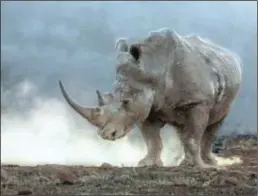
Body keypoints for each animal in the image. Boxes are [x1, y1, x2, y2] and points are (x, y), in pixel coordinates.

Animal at [58, 28, 242, 169]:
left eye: (126, 101)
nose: (106, 135)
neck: (153, 68)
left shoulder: (197, 101)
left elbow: (193, 136)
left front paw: (197, 167)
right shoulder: (144, 107)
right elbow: (152, 140)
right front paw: (147, 164)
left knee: (215, 122)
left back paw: (211, 163)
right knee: (183, 128)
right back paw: (182, 160)